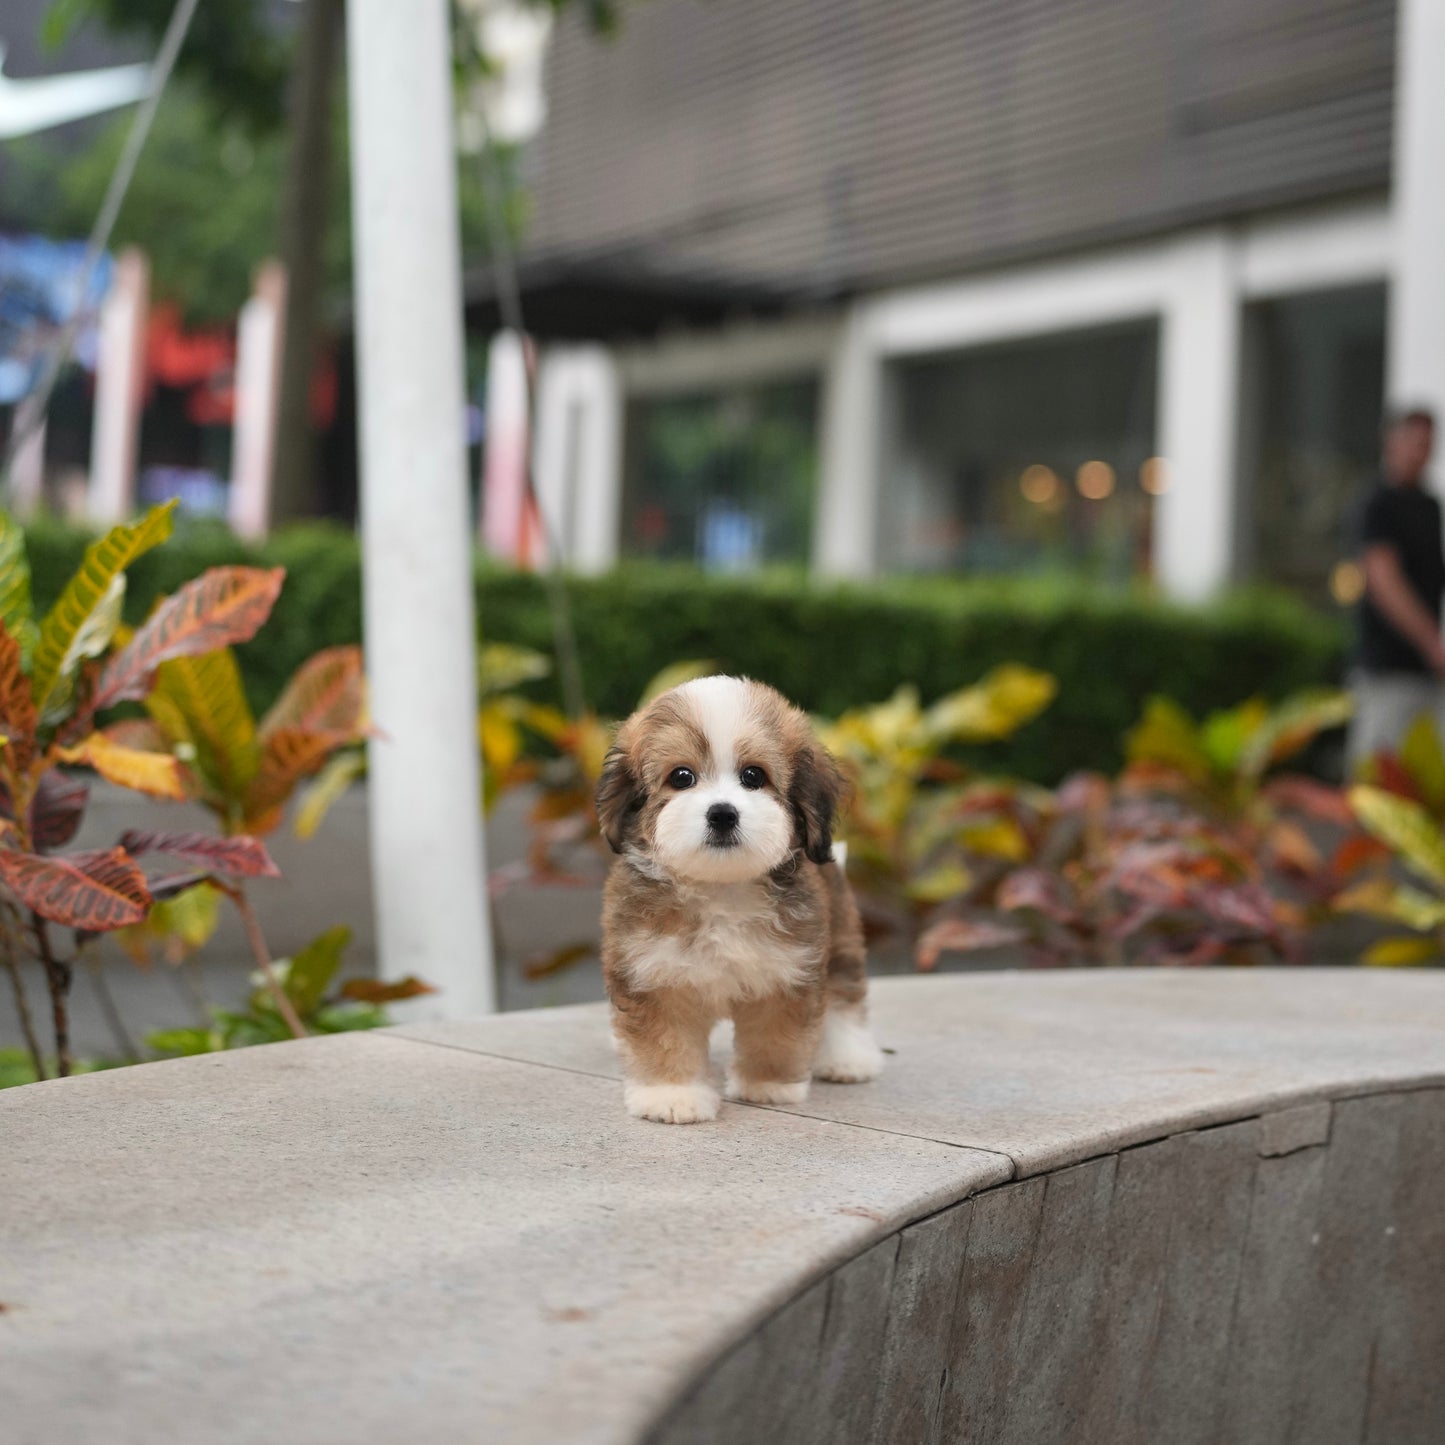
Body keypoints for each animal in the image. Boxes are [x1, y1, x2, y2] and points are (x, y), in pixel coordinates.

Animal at [595, 670, 884, 1121]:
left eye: (754, 776)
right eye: (681, 777)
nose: (722, 814)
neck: (721, 889)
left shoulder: (787, 969)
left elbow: (774, 1033)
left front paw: (768, 1085)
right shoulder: (653, 972)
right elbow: (665, 1038)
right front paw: (671, 1095)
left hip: (840, 937)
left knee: (843, 998)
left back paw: (849, 1058)